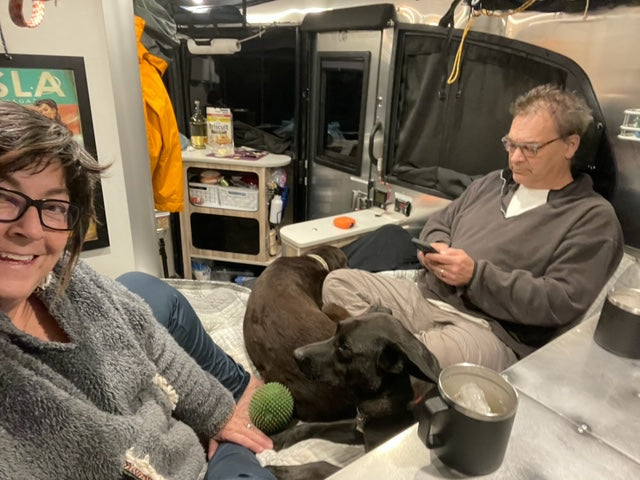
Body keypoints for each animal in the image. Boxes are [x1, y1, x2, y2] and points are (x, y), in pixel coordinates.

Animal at [264, 312, 440, 480]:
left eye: (344, 347)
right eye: (336, 330)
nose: (295, 354)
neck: (389, 392)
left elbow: (321, 465)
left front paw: (282, 471)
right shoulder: (356, 427)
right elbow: (316, 426)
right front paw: (279, 438)